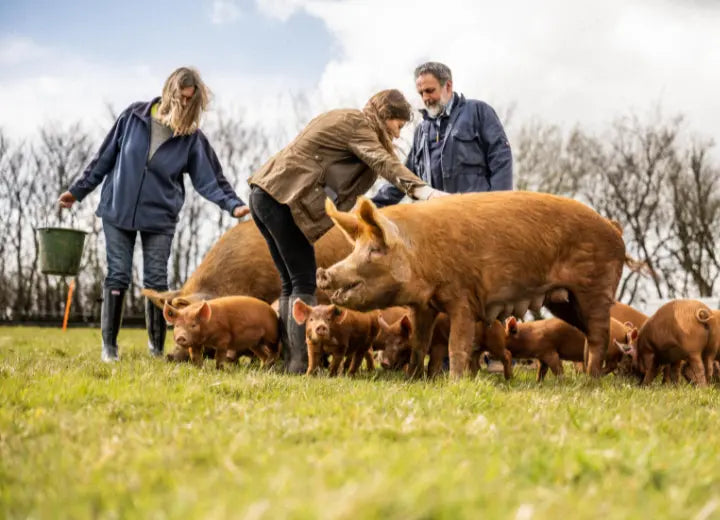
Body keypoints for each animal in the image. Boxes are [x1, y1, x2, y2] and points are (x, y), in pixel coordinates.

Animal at [316, 193, 627, 378]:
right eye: (355, 247)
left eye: (376, 249)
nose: (324, 273)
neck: (421, 255)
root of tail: (614, 228)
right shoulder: (423, 306)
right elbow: (419, 343)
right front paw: (412, 379)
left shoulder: (464, 297)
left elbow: (458, 344)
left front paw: (454, 381)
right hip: (563, 300)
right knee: (588, 336)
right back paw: (586, 377)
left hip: (595, 289)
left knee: (599, 336)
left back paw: (591, 382)